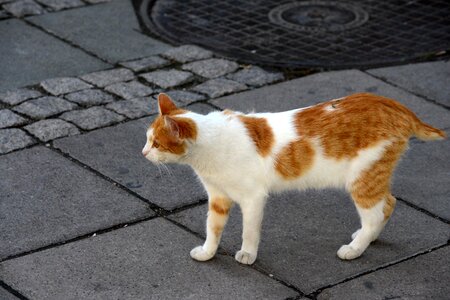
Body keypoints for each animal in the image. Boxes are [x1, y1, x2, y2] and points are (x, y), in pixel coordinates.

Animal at [142, 92, 444, 264]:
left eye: (156, 143)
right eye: (147, 139)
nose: (143, 153)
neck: (211, 146)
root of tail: (394, 105)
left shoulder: (252, 198)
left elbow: (248, 231)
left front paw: (247, 255)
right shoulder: (218, 196)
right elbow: (213, 228)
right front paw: (208, 252)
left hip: (363, 179)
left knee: (374, 213)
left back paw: (355, 248)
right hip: (372, 178)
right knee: (388, 203)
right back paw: (366, 238)